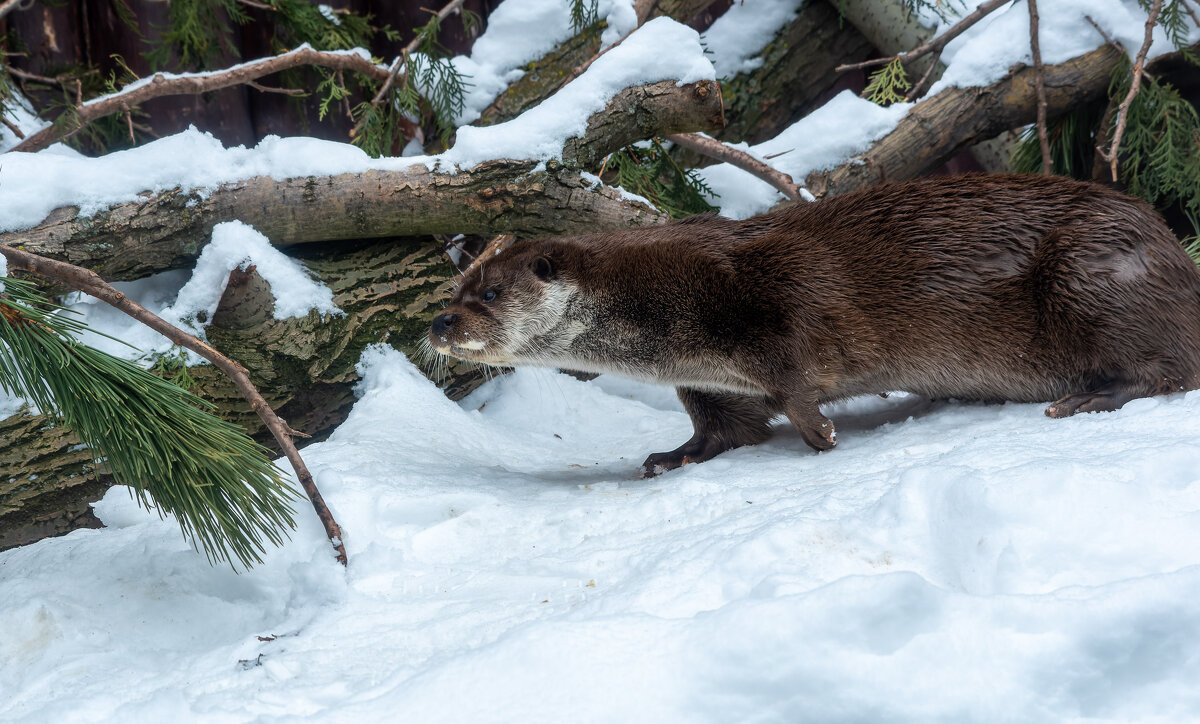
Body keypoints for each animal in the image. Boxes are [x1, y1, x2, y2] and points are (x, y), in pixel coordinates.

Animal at [432, 175, 1200, 477]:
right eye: (454, 288)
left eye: (490, 292)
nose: (439, 324)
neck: (662, 299)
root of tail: (1172, 255)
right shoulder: (709, 382)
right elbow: (725, 428)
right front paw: (673, 456)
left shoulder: (771, 307)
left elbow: (798, 378)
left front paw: (823, 437)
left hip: (1091, 277)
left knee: (1168, 369)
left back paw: (1086, 397)